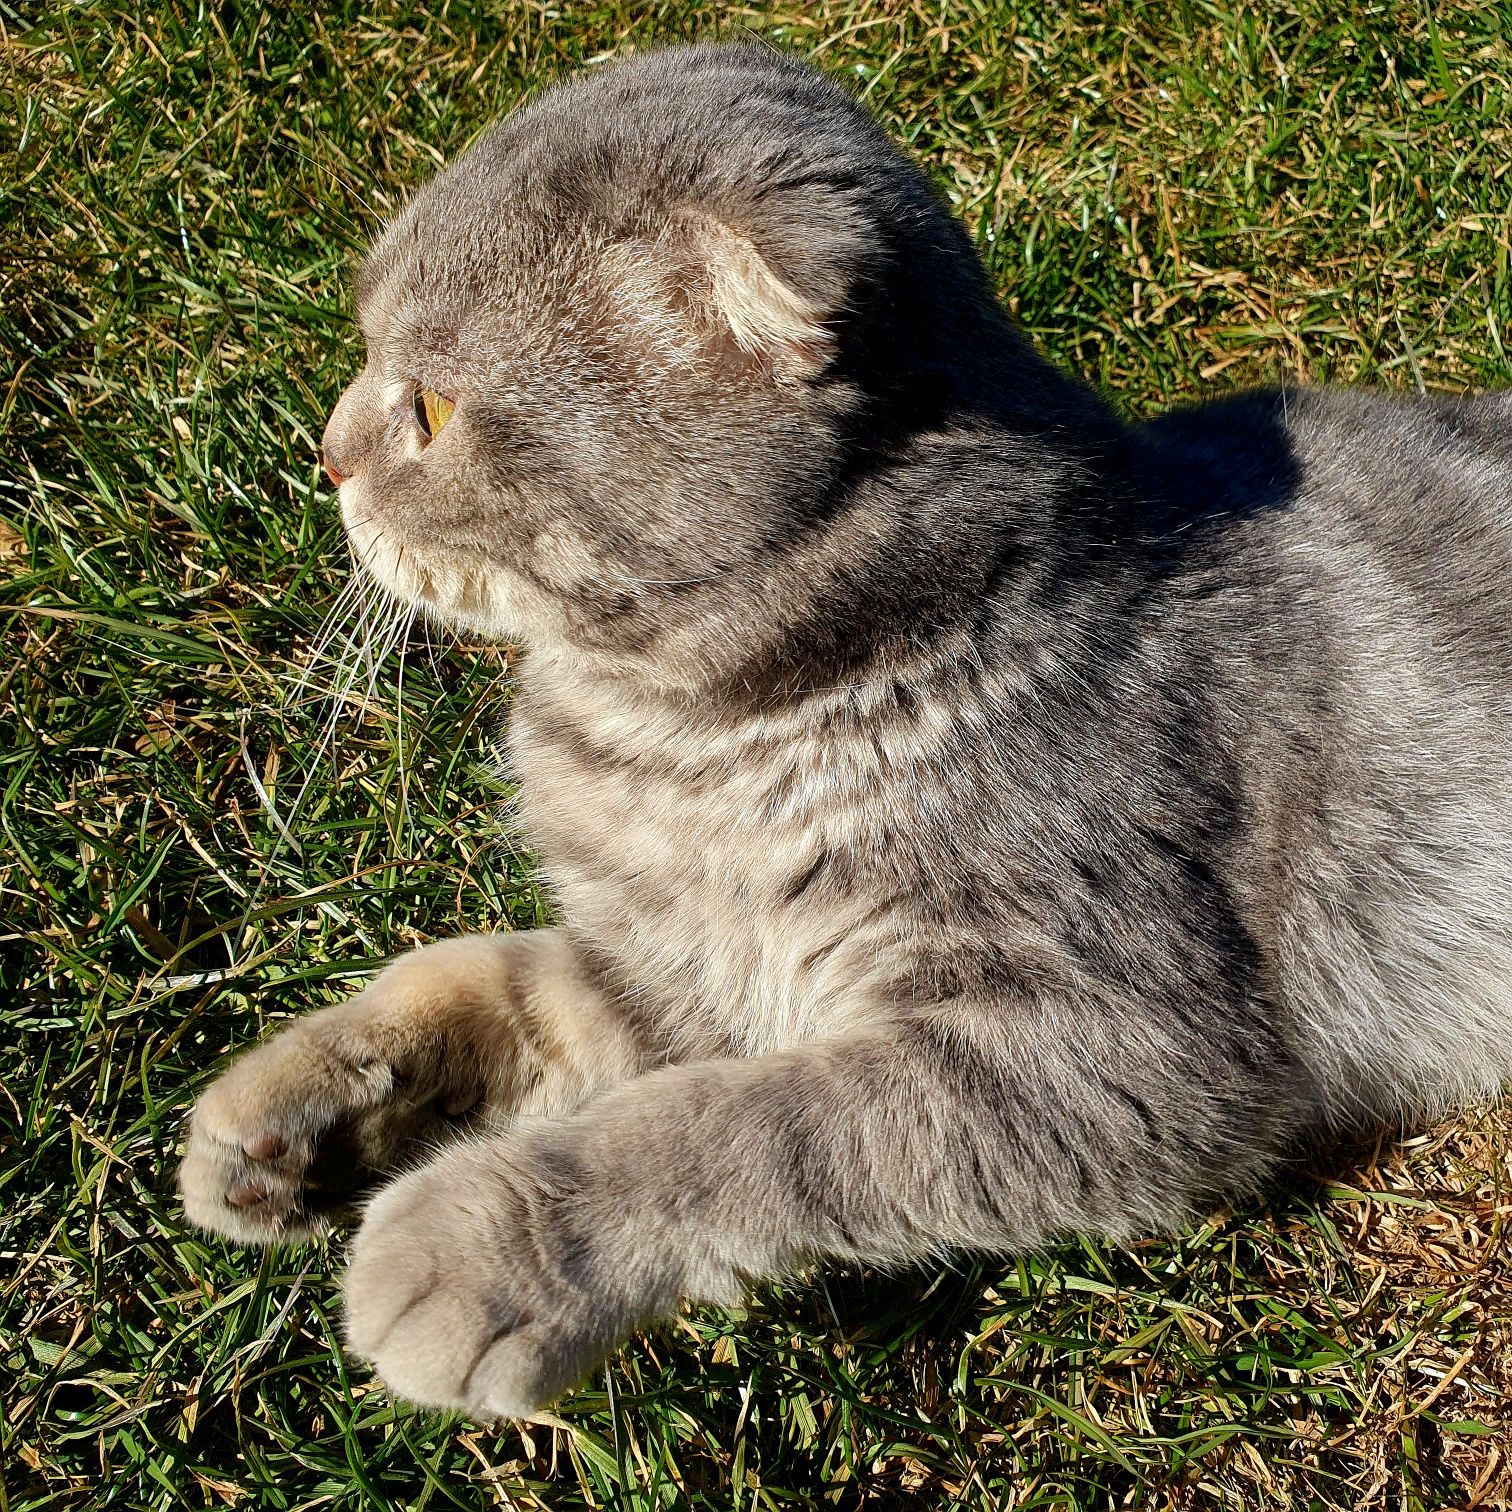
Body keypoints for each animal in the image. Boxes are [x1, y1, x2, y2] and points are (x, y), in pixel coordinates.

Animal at [179, 41, 1512, 1421]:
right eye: (363, 350)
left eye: (432, 410)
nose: (325, 454)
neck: (663, 741)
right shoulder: (675, 969)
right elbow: (472, 979)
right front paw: (296, 1106)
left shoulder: (1128, 1044)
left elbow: (739, 1126)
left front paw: (479, 1243)